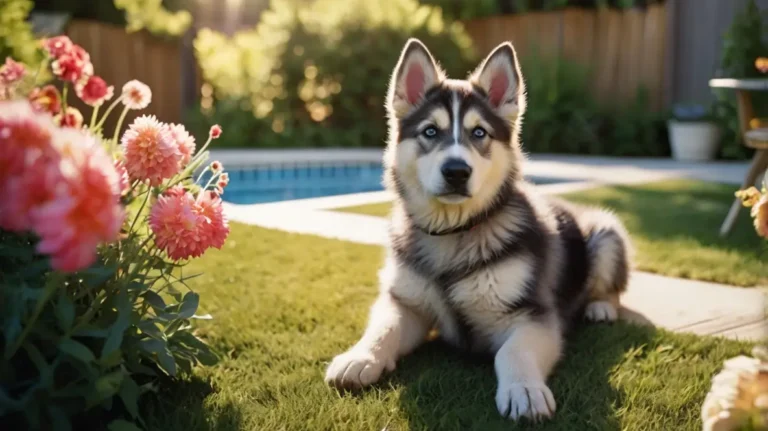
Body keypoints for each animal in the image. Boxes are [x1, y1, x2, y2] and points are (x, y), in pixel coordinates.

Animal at [324, 38, 632, 424]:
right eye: (430, 131)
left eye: (479, 133)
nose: (456, 171)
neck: (455, 232)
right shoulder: (406, 303)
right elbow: (384, 327)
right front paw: (360, 357)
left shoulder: (533, 315)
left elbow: (511, 352)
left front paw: (523, 389)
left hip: (607, 235)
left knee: (611, 286)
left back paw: (600, 307)